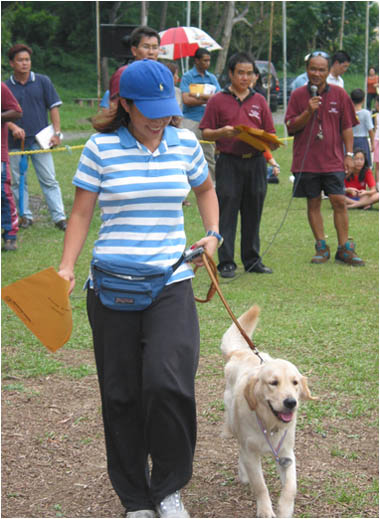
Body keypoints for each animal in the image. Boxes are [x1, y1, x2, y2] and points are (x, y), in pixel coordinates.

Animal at [220, 306, 314, 516]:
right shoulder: (251, 453)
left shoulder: (287, 454)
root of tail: (240, 352)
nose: (291, 402)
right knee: (240, 448)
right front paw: (264, 510)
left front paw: (285, 510)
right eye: (273, 383)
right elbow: (260, 485)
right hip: (233, 423)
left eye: (295, 382)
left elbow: (291, 488)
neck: (270, 425)